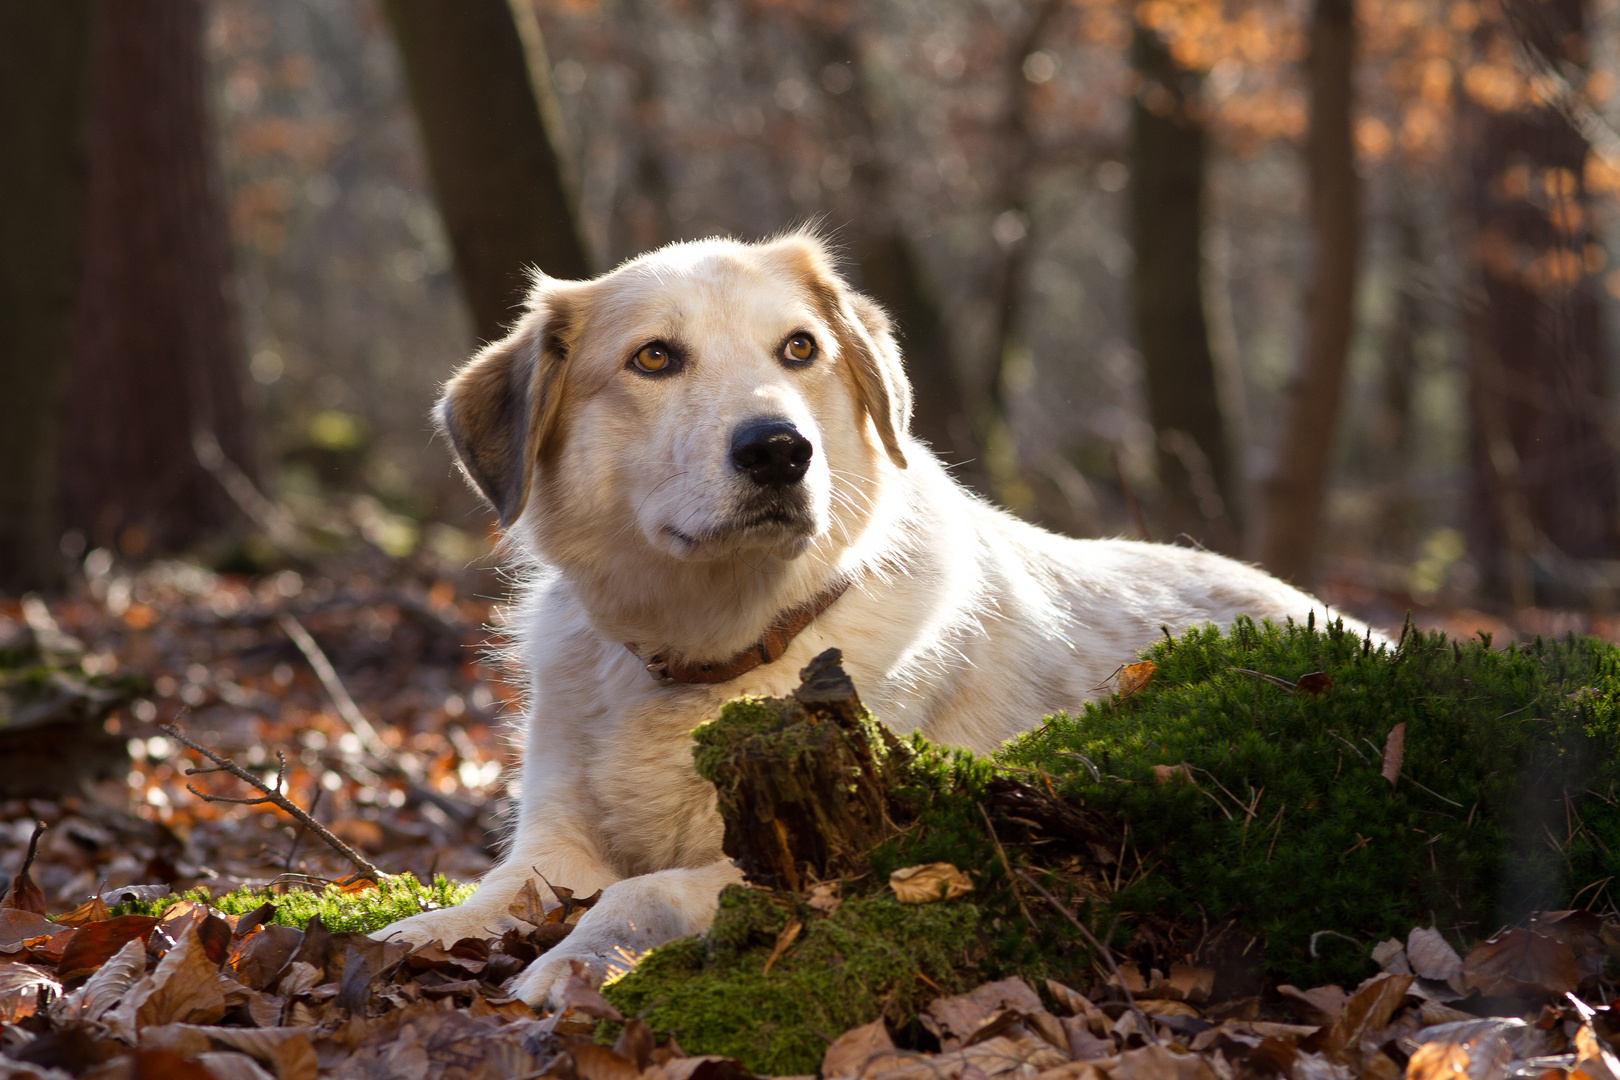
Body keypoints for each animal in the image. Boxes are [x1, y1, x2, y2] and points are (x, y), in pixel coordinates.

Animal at [379, 233, 1367, 1010]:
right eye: (654, 359)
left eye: (800, 348)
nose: (779, 450)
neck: (717, 651)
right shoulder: (555, 841)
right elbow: (496, 892)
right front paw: (417, 933)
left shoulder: (811, 859)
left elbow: (639, 893)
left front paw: (569, 963)